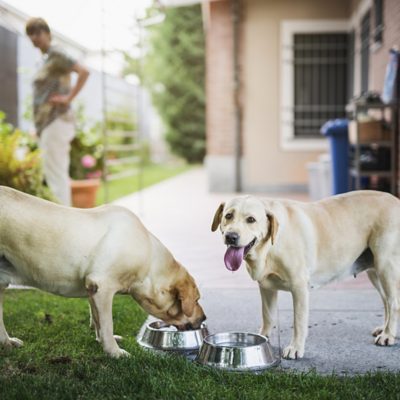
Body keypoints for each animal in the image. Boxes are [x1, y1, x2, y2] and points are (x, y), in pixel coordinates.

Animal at [0, 186, 205, 358]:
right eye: (196, 300)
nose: (204, 317)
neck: (147, 260)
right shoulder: (102, 286)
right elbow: (107, 324)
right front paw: (114, 351)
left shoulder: (92, 289)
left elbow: (97, 320)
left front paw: (101, 341)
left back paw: (7, 342)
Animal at [212, 191, 400, 360]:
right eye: (228, 215)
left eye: (251, 219)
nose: (231, 237)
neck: (270, 246)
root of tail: (396, 200)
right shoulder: (266, 287)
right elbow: (268, 316)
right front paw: (264, 338)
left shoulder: (299, 287)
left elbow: (299, 322)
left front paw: (295, 348)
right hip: (374, 272)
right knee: (386, 301)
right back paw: (385, 329)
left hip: (386, 265)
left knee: (394, 303)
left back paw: (388, 335)